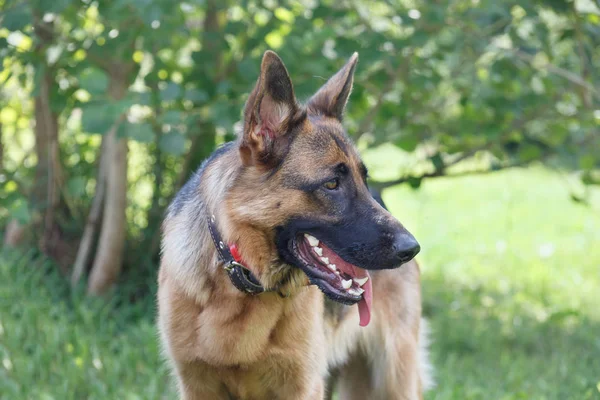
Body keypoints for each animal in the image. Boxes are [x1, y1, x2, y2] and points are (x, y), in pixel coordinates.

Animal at [157, 50, 434, 400]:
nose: (412, 248)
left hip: (393, 379)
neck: (242, 281)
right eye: (331, 184)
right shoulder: (198, 387)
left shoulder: (303, 385)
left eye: (363, 179)